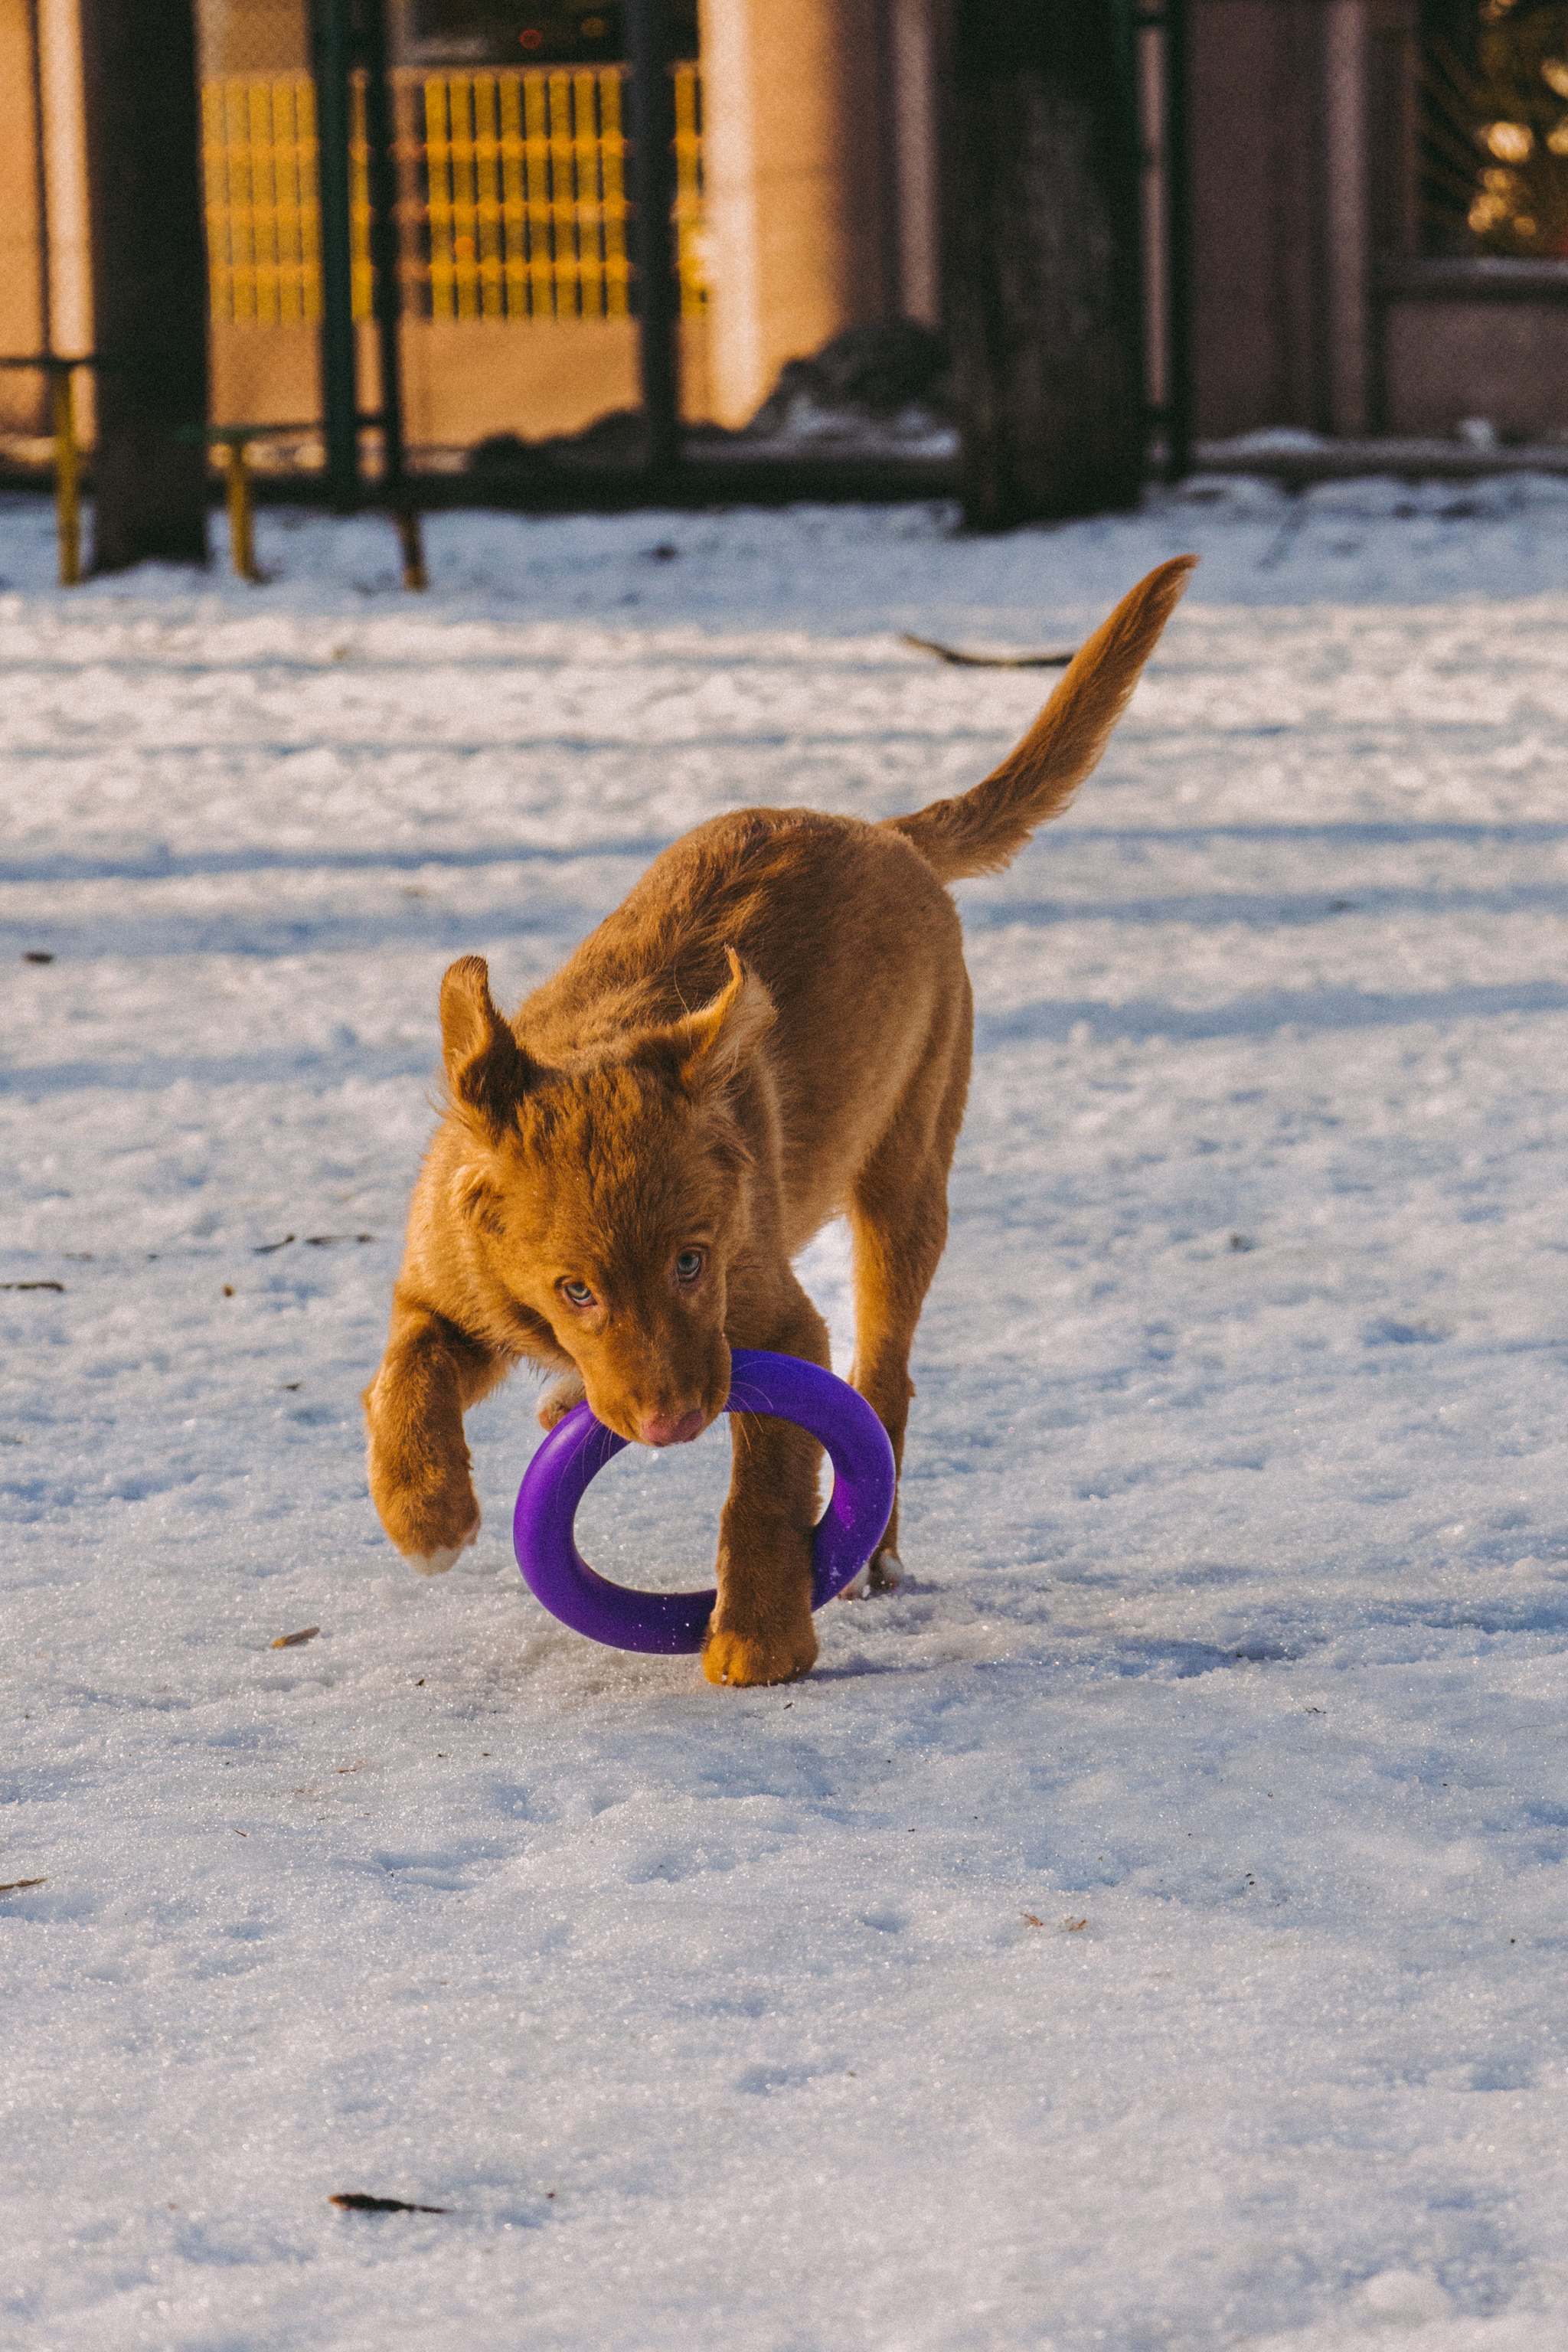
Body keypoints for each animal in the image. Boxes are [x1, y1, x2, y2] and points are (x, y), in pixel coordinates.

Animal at [369, 550, 1194, 1693]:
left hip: (907, 1174)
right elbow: (405, 1370)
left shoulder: (775, 1327)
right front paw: (425, 1512)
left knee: (883, 1385)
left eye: (691, 1261)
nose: (672, 1422)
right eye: (576, 1290)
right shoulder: (451, 1289)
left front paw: (759, 1635)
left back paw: (872, 1559)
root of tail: (886, 832)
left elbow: (765, 1479)